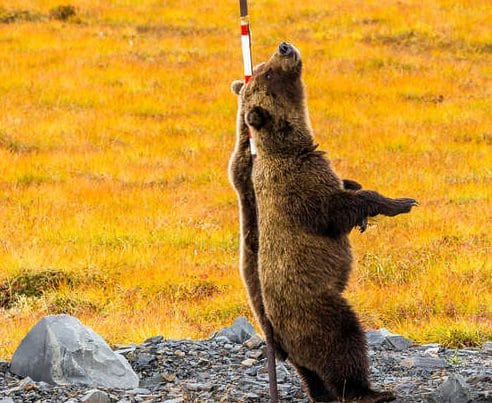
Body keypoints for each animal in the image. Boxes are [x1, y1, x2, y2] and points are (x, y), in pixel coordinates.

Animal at [231, 42, 416, 402]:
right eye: (268, 73)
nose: (284, 47)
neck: (290, 146)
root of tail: (280, 341)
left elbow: (346, 190)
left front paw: (361, 200)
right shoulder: (299, 187)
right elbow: (333, 211)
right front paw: (400, 203)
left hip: (300, 346)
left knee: (312, 374)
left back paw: (323, 393)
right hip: (316, 310)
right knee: (343, 343)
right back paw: (371, 391)